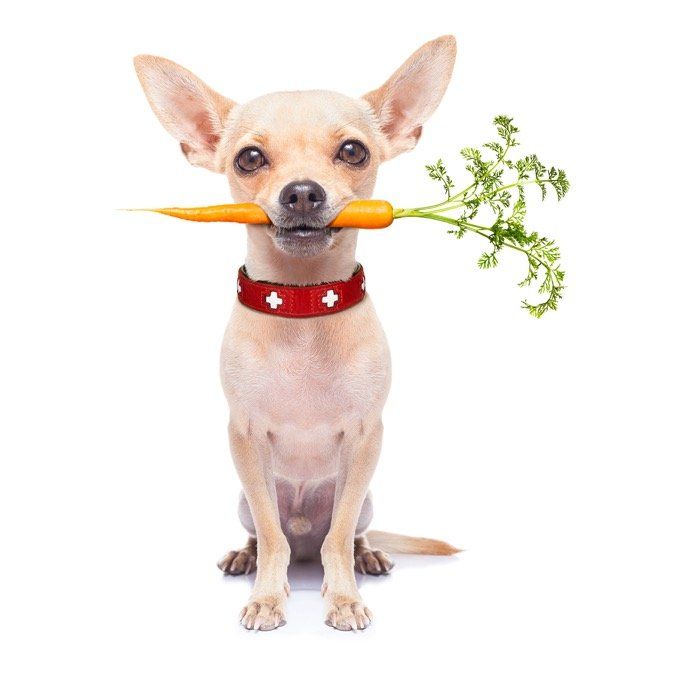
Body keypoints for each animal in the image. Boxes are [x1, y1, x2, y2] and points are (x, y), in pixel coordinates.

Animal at [132, 34, 460, 632]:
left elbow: (338, 537)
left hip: (367, 499)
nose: (302, 193)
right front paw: (267, 596)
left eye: (353, 151)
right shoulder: (244, 439)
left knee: (344, 534)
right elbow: (272, 536)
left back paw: (367, 554)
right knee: (274, 535)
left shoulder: (366, 439)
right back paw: (246, 555)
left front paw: (344, 597)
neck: (305, 306)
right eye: (249, 158)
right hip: (243, 498)